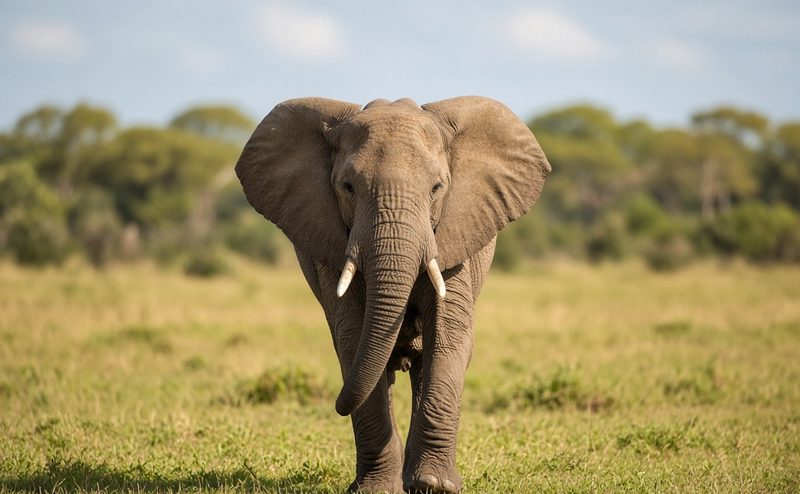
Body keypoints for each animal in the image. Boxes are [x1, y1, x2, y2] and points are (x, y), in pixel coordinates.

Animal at [235, 96, 550, 493]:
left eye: (437, 187)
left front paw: (434, 486)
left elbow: (447, 337)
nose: (336, 404)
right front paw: (376, 489)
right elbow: (353, 338)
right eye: (348, 187)